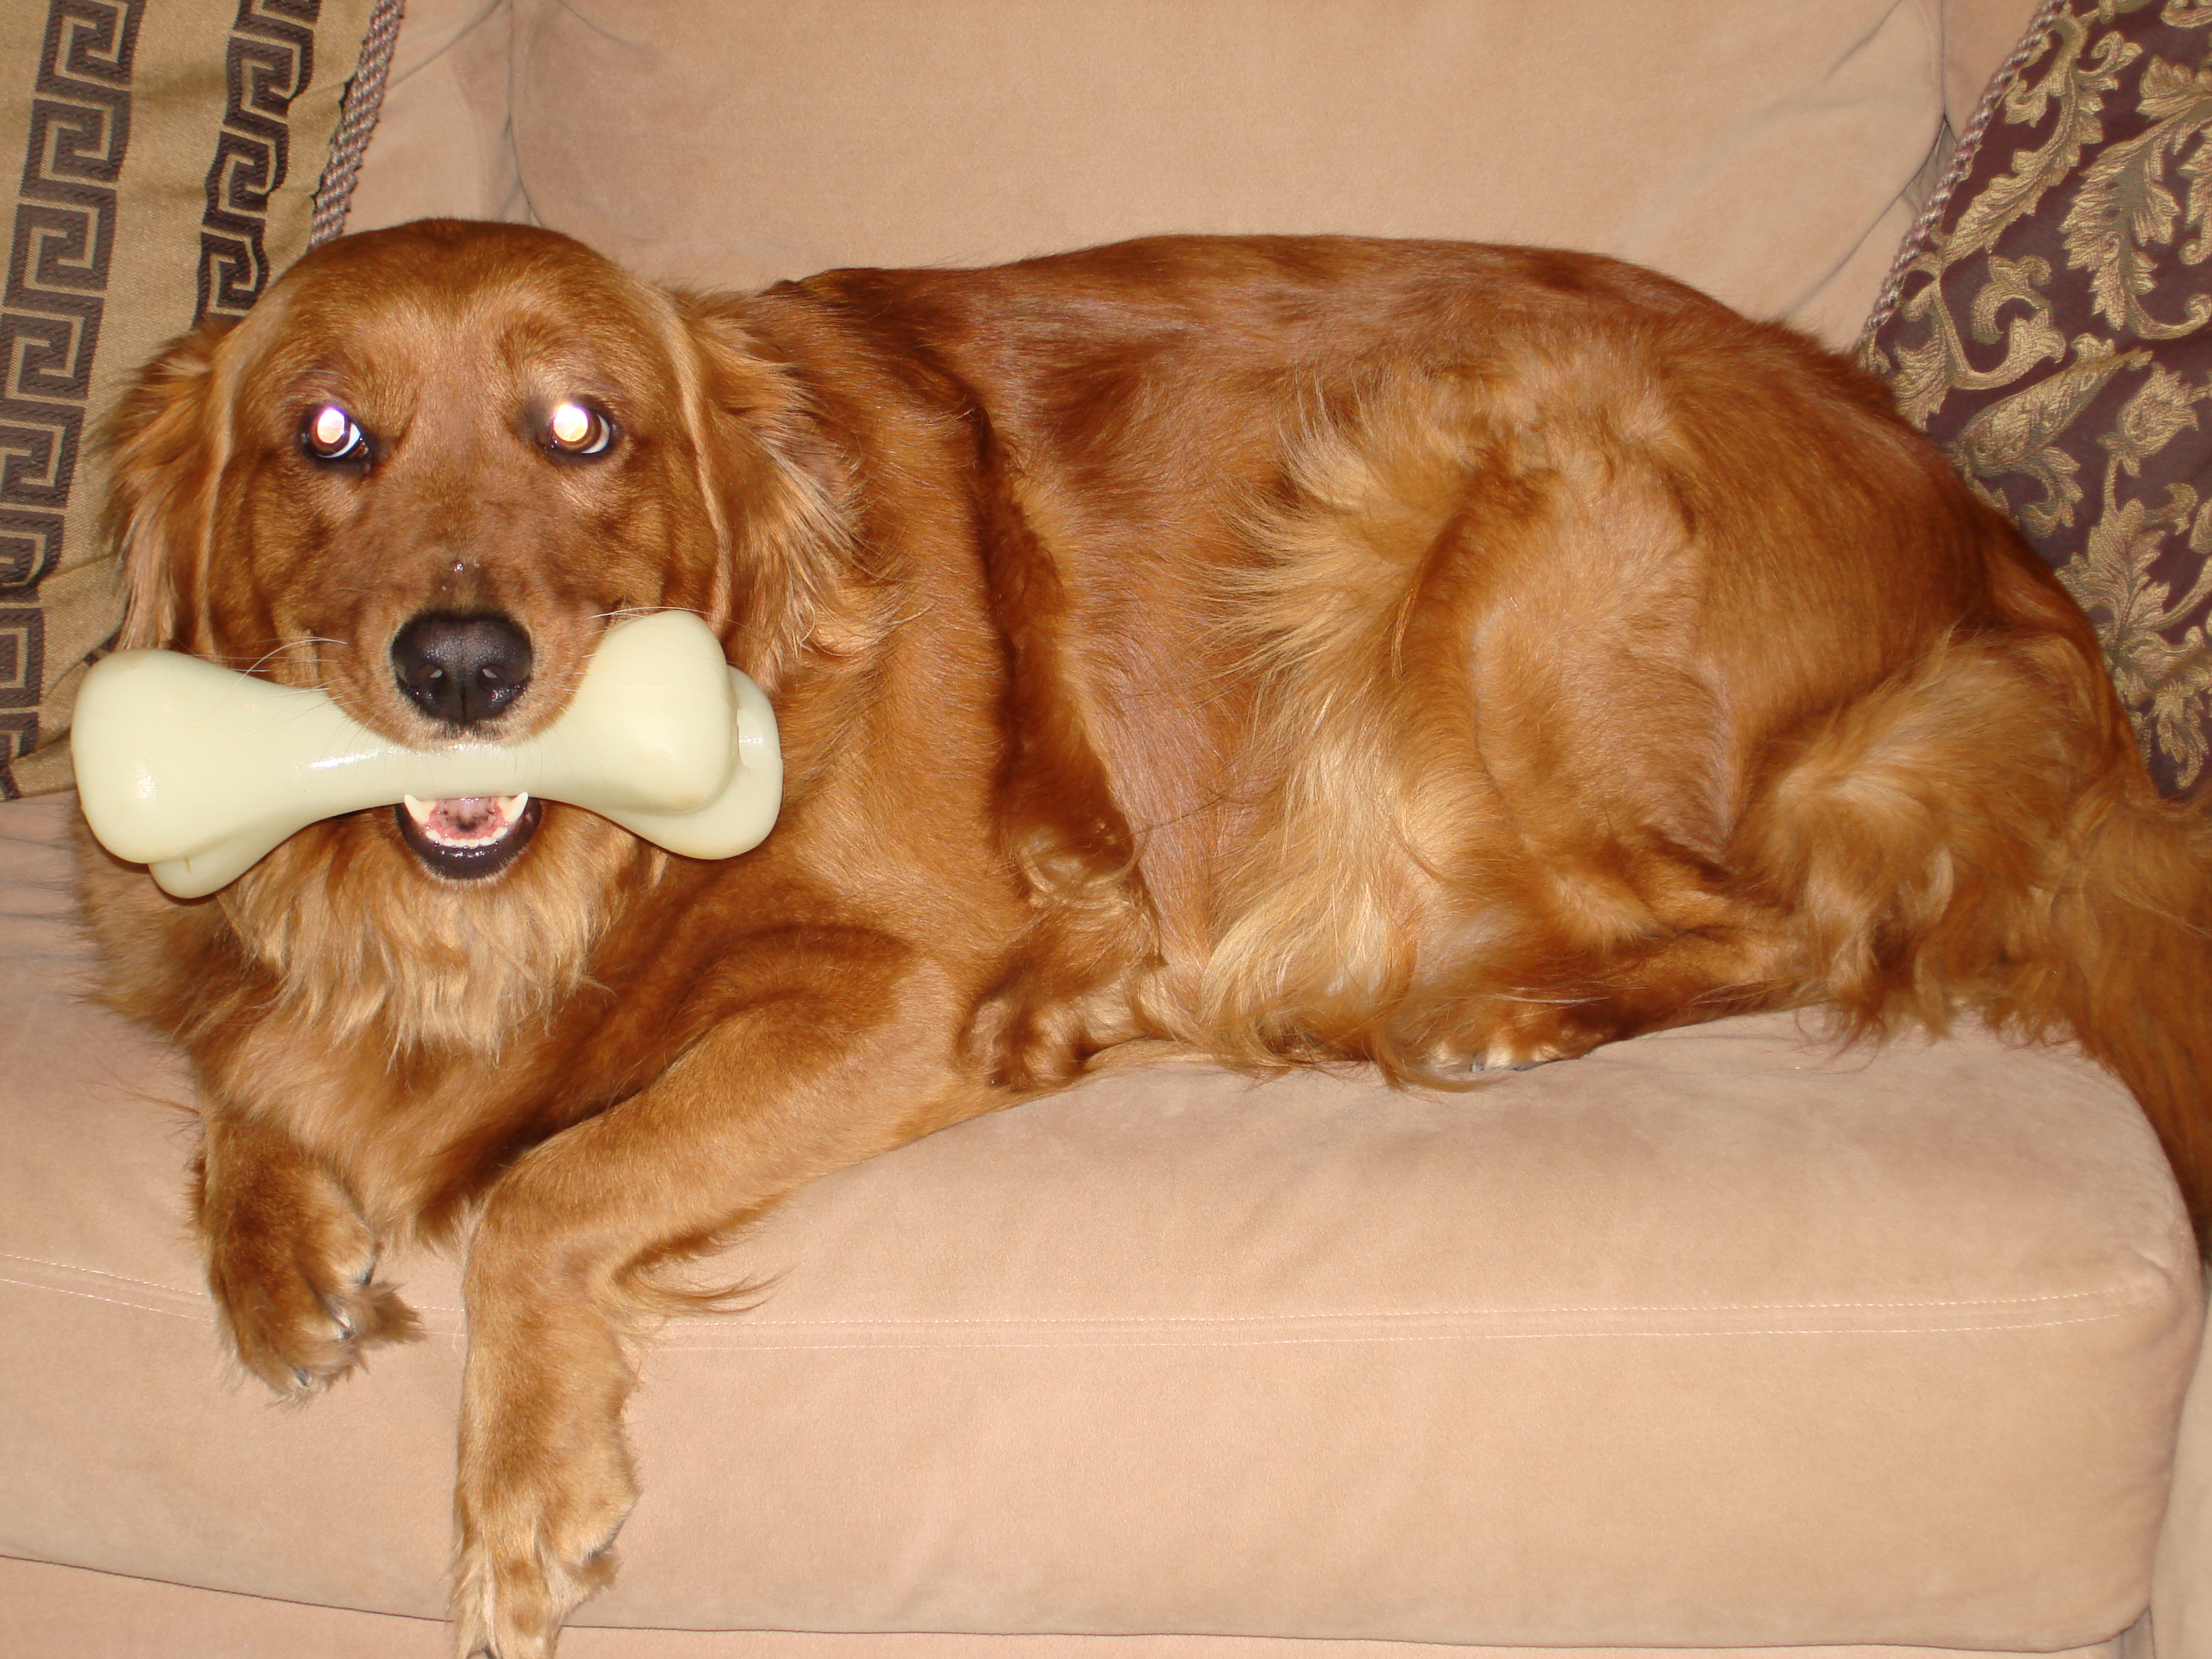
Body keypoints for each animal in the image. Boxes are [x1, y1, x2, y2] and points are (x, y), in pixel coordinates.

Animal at [79, 220, 2212, 1657]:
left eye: (583, 428)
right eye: (327, 434)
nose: (460, 664)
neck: (507, 908)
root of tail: (1997, 554)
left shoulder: (924, 980)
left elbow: (553, 1186)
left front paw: (527, 1491)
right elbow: (247, 1055)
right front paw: (278, 1245)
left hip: (1460, 485)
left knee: (1789, 924)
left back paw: (1486, 1013)